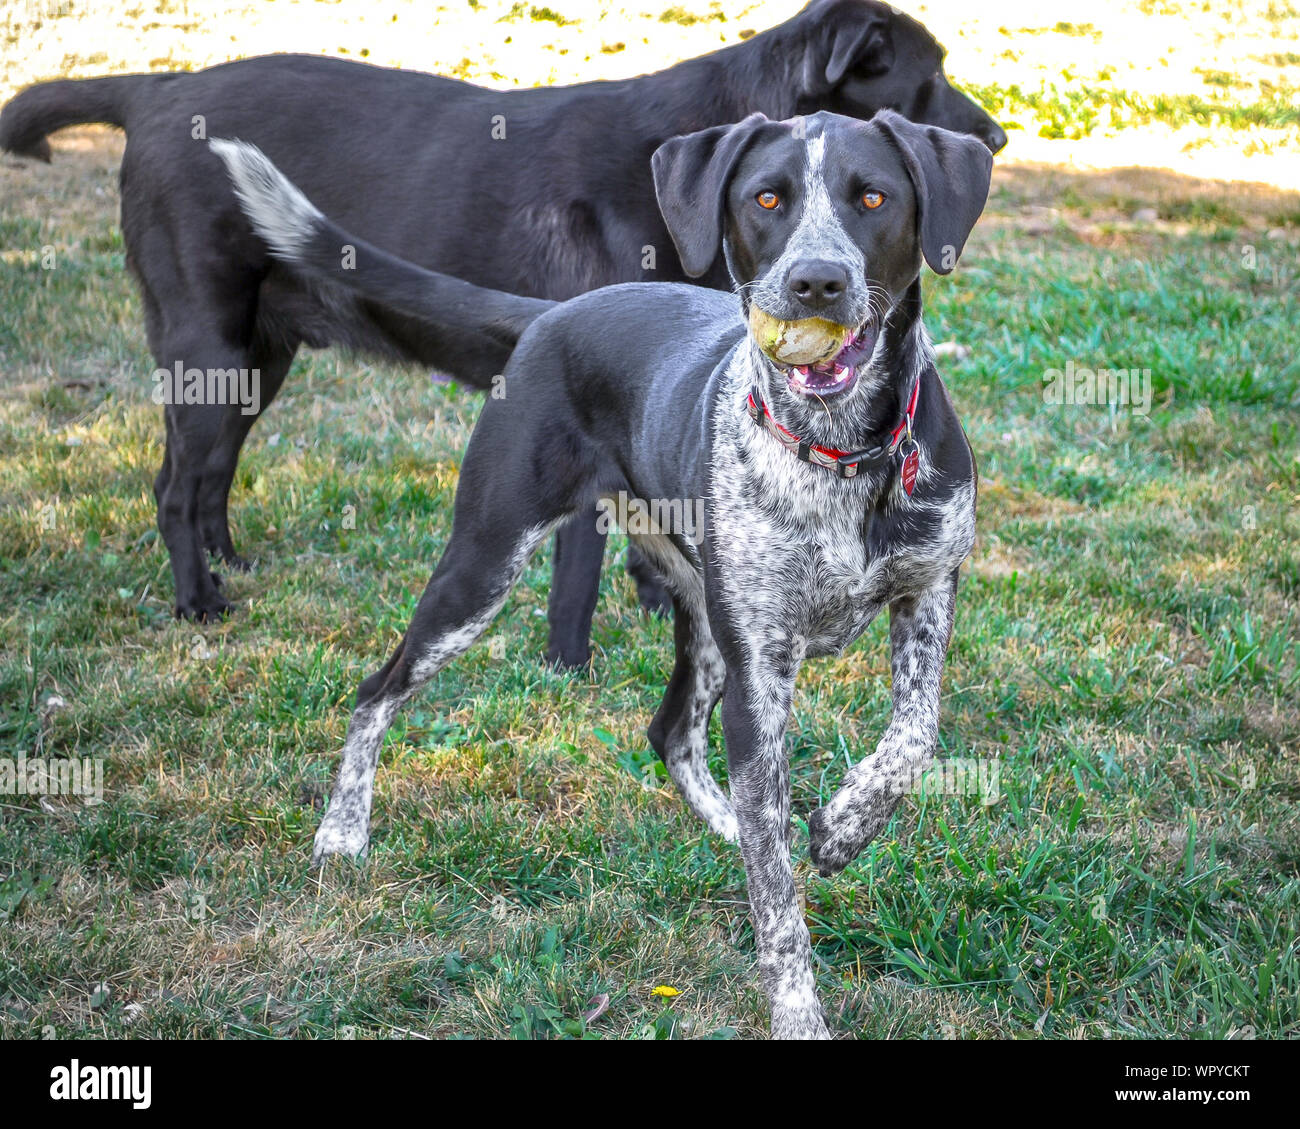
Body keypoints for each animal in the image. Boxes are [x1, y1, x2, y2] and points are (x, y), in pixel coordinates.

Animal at [0, 0, 1003, 671]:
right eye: (926, 77)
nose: (995, 137)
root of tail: (158, 91)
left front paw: (657, 605)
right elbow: (580, 561)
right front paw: (572, 664)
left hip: (257, 357)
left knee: (210, 471)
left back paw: (230, 561)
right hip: (206, 343)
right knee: (174, 481)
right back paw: (198, 600)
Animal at [213, 101, 987, 1035]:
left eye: (872, 196)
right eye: (767, 198)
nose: (817, 283)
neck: (840, 454)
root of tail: (556, 311)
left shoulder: (928, 587)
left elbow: (913, 735)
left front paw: (842, 825)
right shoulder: (762, 670)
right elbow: (779, 901)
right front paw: (798, 1008)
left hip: (698, 617)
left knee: (673, 733)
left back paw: (734, 826)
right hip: (485, 564)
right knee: (377, 689)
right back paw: (341, 833)